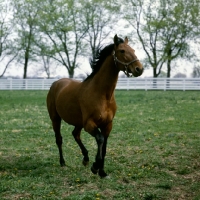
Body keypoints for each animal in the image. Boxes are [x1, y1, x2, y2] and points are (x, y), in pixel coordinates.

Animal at [46, 34, 144, 178]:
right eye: (122, 51)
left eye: (133, 50)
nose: (139, 69)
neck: (102, 95)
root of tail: (56, 83)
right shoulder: (90, 124)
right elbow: (100, 139)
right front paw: (95, 166)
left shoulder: (107, 125)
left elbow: (104, 148)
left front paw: (102, 172)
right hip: (55, 119)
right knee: (59, 139)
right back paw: (63, 162)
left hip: (78, 122)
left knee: (75, 134)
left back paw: (85, 159)